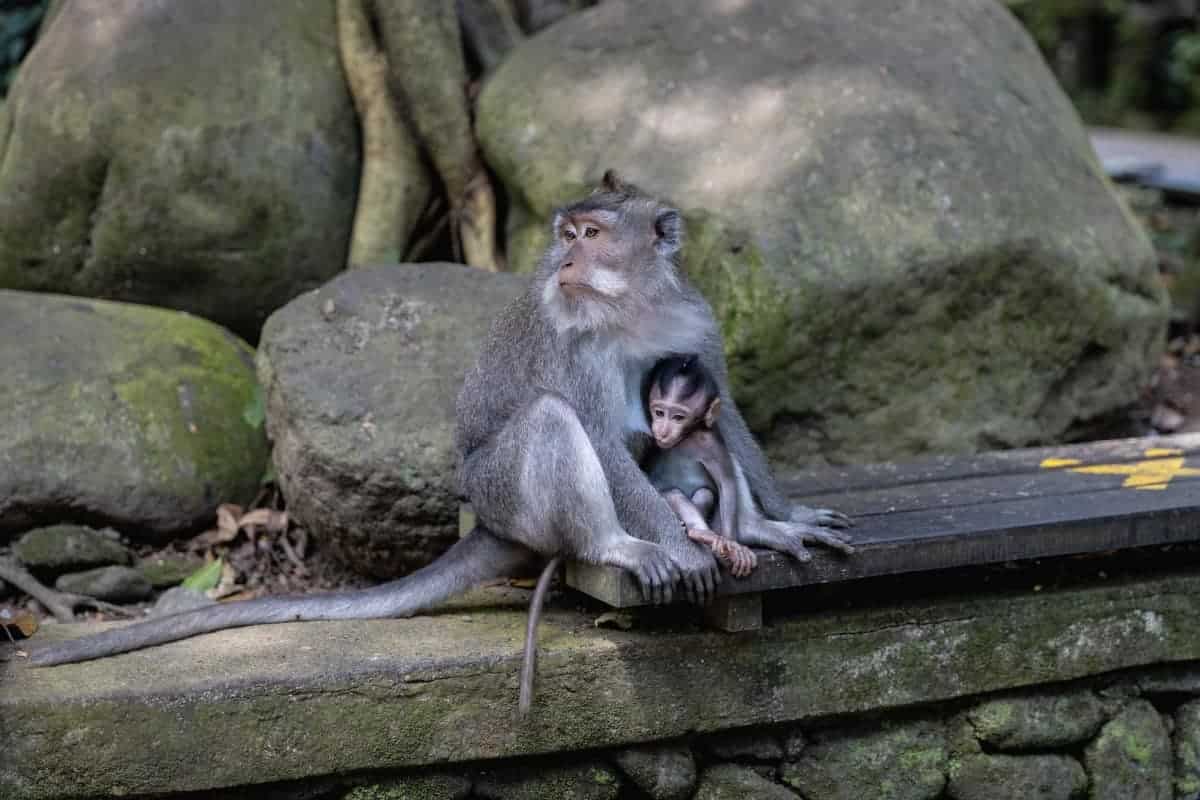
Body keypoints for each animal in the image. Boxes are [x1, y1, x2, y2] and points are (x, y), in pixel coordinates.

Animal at [643, 354, 757, 578]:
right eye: (659, 413)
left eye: (678, 417)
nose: (663, 431)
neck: (686, 438)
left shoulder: (710, 442)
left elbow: (726, 482)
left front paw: (730, 541)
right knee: (674, 493)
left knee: (705, 493)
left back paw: (701, 533)